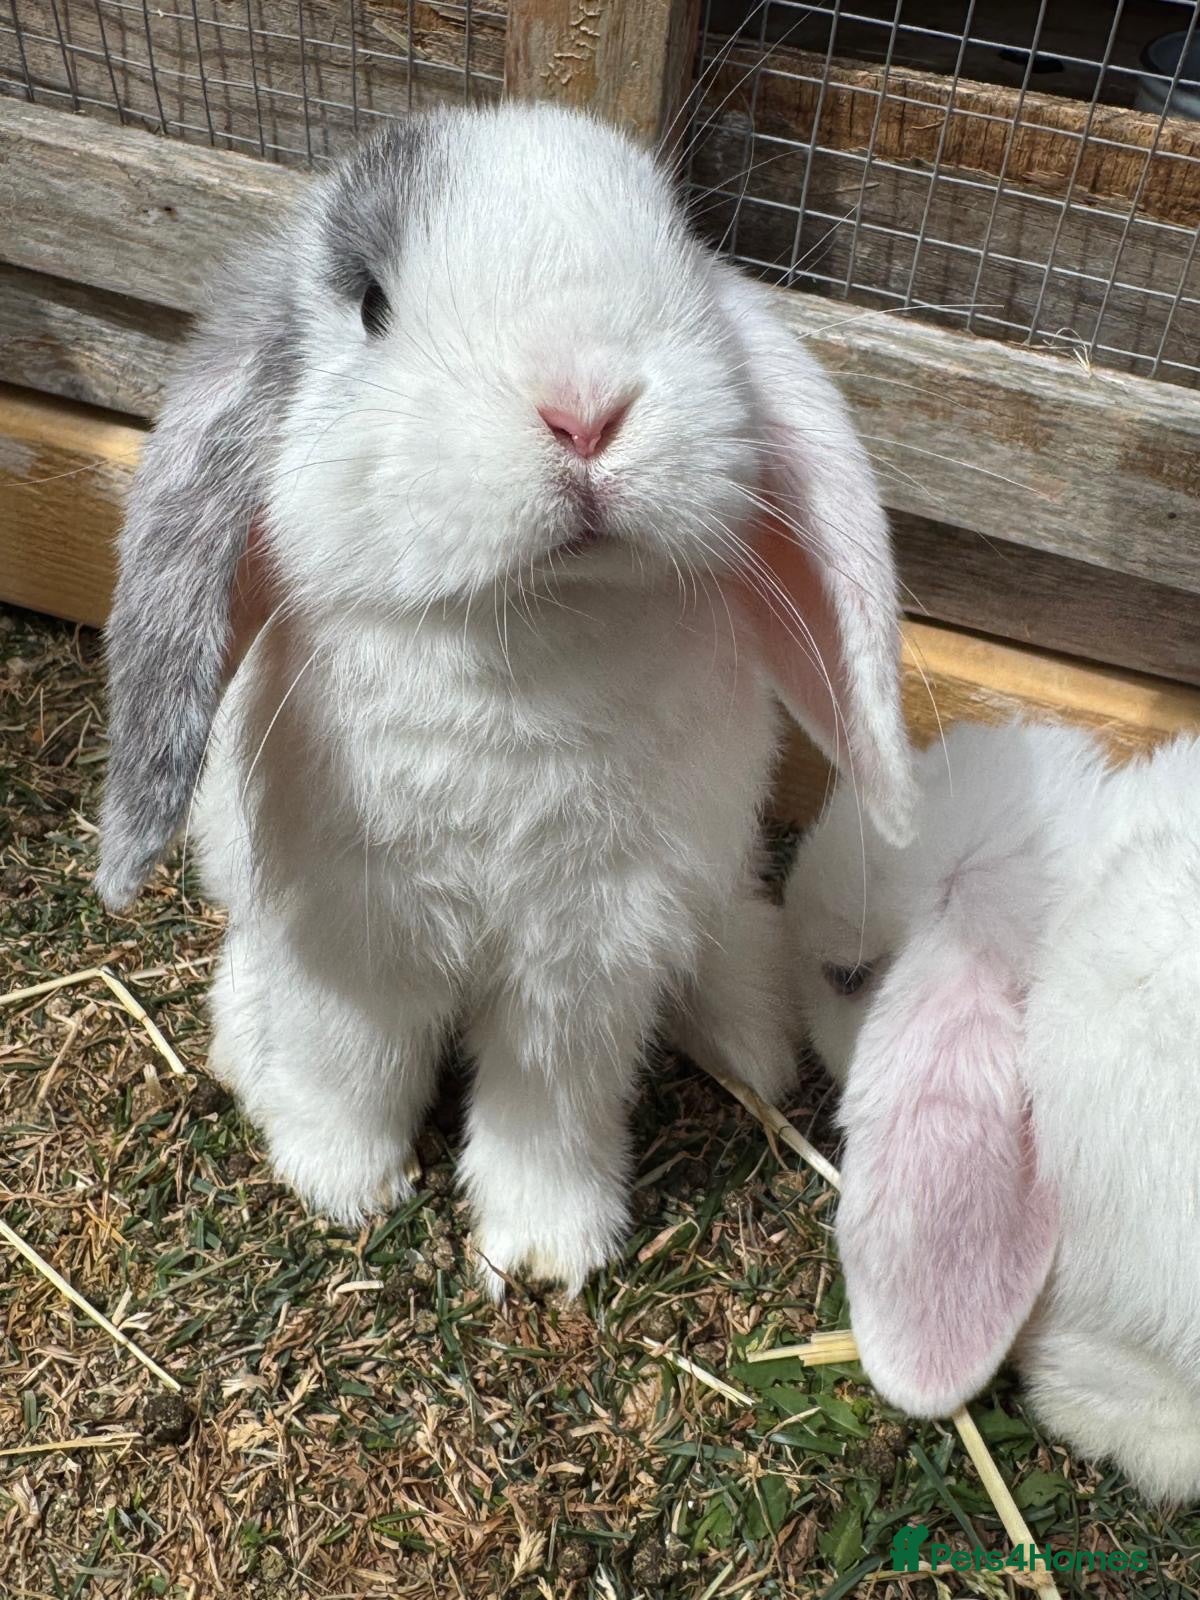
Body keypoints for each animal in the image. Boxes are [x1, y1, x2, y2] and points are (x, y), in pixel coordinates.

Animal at [97, 102, 915, 1297]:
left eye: (680, 256)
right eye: (372, 303)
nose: (585, 411)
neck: (528, 637)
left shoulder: (585, 961)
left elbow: (548, 1108)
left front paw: (542, 1250)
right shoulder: (352, 932)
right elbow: (352, 1062)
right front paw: (341, 1184)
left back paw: (750, 1044)